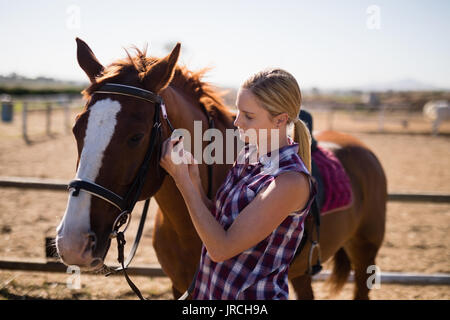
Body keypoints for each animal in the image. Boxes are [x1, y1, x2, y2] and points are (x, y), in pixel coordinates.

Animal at [56, 38, 386, 300]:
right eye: (76, 129)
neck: (186, 227)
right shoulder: (179, 287)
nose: (72, 243)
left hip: (365, 255)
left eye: (136, 136)